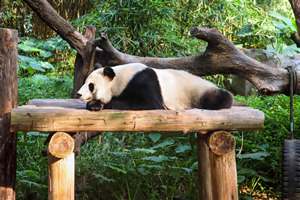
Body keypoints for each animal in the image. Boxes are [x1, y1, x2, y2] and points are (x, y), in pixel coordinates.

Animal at [76, 63, 233, 111]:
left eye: (90, 86)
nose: (78, 94)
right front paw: (95, 104)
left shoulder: (143, 81)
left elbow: (148, 103)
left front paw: (98, 104)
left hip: (196, 91)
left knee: (221, 97)